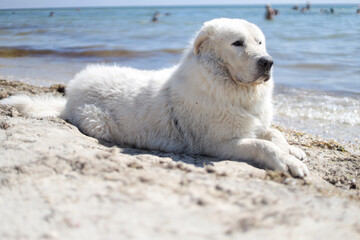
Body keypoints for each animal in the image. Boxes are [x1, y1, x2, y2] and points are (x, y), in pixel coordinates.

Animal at [0, 18, 310, 177]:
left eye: (259, 42)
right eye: (237, 43)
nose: (267, 62)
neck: (231, 89)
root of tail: (69, 94)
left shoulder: (256, 121)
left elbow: (273, 133)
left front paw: (293, 150)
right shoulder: (218, 144)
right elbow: (261, 144)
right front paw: (288, 162)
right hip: (99, 123)